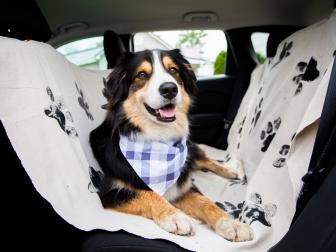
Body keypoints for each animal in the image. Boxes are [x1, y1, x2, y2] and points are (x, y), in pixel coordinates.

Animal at [89, 49, 252, 242]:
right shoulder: (109, 193)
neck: (158, 139)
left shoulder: (183, 187)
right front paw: (174, 215)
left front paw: (231, 224)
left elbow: (207, 203)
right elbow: (147, 193)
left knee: (203, 159)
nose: (169, 89)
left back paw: (230, 170)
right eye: (141, 75)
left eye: (173, 70)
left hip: (189, 149)